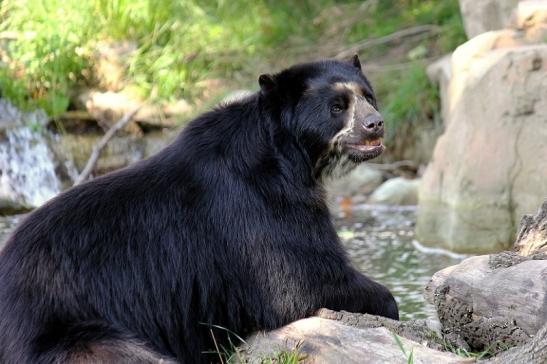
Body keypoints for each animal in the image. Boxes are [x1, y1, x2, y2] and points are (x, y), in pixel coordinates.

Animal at [0, 54, 398, 364]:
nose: (375, 124)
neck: (290, 157)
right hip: (63, 327)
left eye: (369, 96)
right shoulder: (256, 204)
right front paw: (386, 301)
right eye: (337, 106)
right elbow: (298, 280)